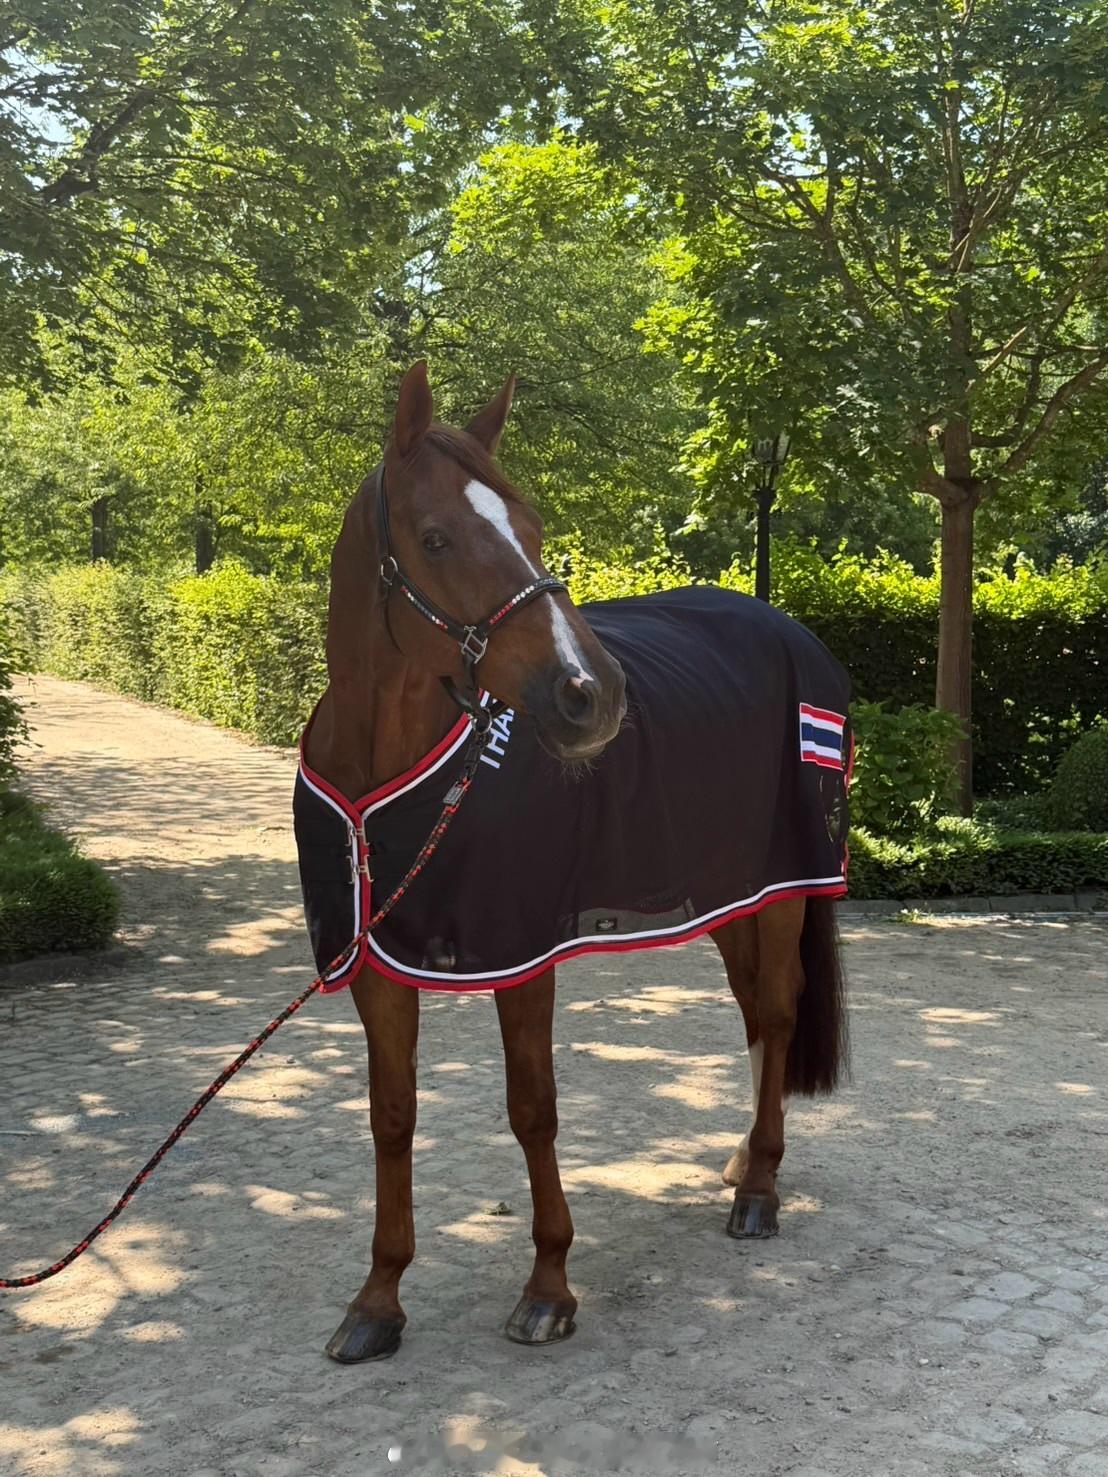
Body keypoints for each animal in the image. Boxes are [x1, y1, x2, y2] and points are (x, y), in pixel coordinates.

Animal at [297, 361, 850, 1363]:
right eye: (436, 537)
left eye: (533, 525)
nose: (592, 694)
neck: (387, 767)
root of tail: (788, 628)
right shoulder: (376, 965)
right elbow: (392, 1115)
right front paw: (377, 1300)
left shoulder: (524, 955)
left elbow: (534, 1107)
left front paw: (549, 1285)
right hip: (731, 897)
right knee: (757, 1014)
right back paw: (745, 1159)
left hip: (788, 887)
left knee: (781, 1015)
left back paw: (759, 1191)